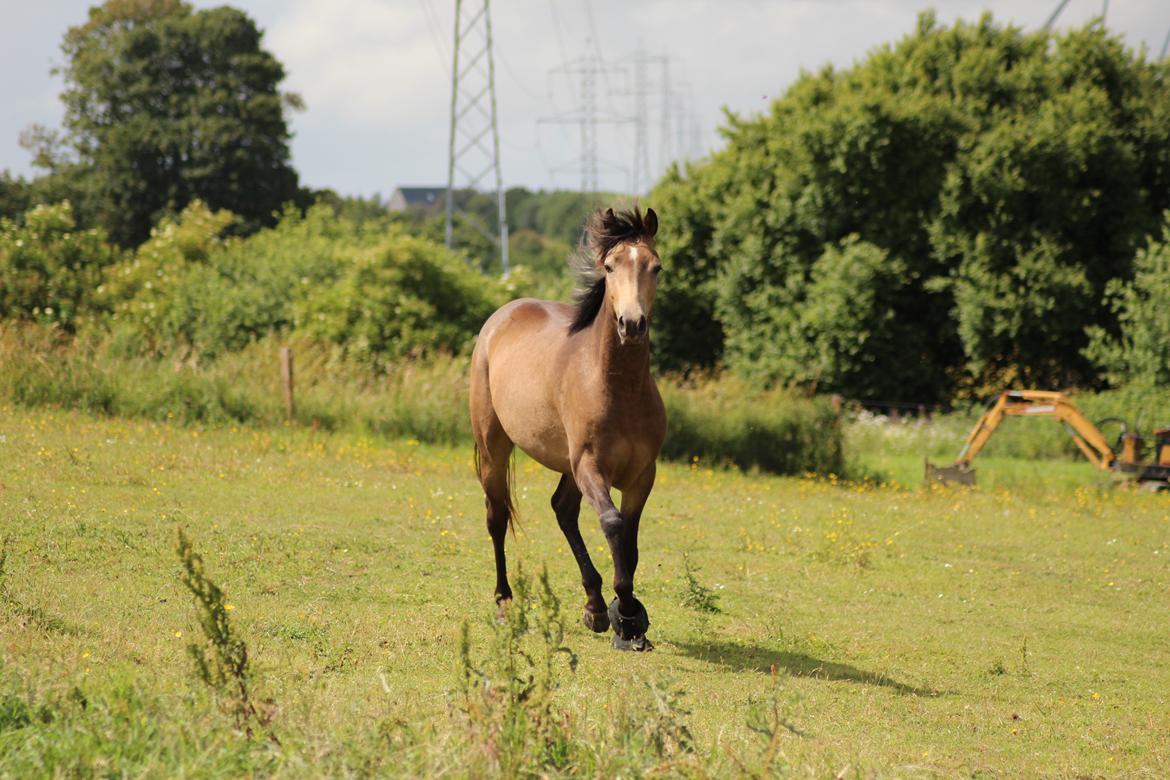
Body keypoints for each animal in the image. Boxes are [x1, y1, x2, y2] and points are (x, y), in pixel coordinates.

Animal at [467, 204, 669, 650]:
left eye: (656, 267)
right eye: (609, 266)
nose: (632, 324)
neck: (617, 387)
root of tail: (503, 315)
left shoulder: (642, 476)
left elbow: (630, 539)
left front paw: (627, 617)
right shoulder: (591, 466)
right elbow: (613, 524)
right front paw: (627, 614)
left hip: (567, 466)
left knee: (562, 509)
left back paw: (594, 606)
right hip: (495, 448)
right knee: (496, 517)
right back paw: (505, 603)